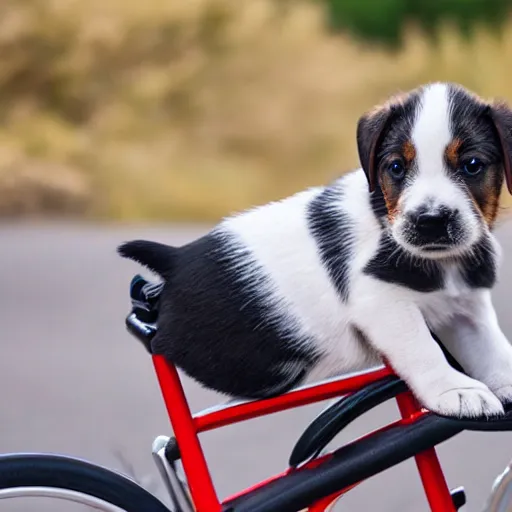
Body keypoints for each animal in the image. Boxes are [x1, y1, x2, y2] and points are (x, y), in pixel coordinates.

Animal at [118, 82, 512, 418]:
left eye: (472, 165)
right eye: (397, 167)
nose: (430, 220)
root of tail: (172, 260)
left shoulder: (468, 310)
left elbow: (493, 349)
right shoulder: (384, 304)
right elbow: (423, 349)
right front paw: (455, 390)